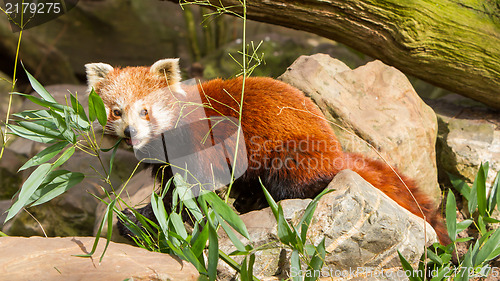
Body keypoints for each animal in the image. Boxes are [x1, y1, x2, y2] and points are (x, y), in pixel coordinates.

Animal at [85, 58, 450, 244]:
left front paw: (143, 218)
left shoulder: (199, 147)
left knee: (290, 185)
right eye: (117, 111)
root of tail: (335, 149)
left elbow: (191, 194)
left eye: (145, 111)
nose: (130, 133)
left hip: (292, 154)